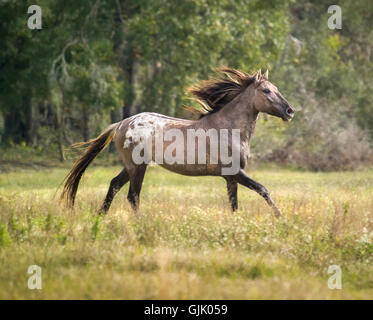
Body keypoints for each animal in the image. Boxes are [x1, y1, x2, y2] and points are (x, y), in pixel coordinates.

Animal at [61, 67, 294, 218]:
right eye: (266, 91)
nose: (290, 111)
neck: (228, 129)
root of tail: (121, 124)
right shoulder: (235, 172)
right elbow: (262, 189)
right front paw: (279, 215)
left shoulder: (230, 177)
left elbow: (234, 204)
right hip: (137, 167)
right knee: (133, 196)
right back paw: (139, 222)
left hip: (131, 166)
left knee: (114, 185)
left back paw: (101, 216)